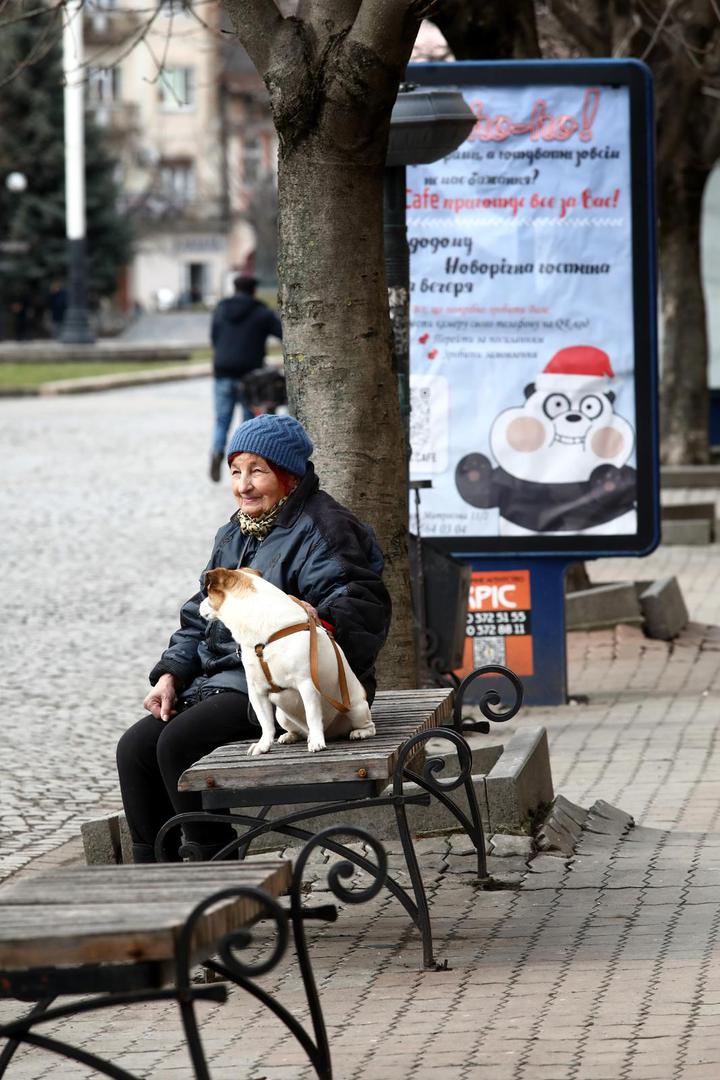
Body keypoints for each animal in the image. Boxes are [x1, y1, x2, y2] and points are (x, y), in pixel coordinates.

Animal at [198, 570, 377, 756]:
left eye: (208, 593)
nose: (199, 604)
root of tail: (331, 732)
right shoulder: (256, 691)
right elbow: (265, 724)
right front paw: (263, 745)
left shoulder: (307, 684)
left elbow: (312, 716)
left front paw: (317, 742)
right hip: (281, 716)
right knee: (297, 730)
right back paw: (291, 736)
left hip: (356, 709)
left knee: (367, 725)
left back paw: (357, 732)